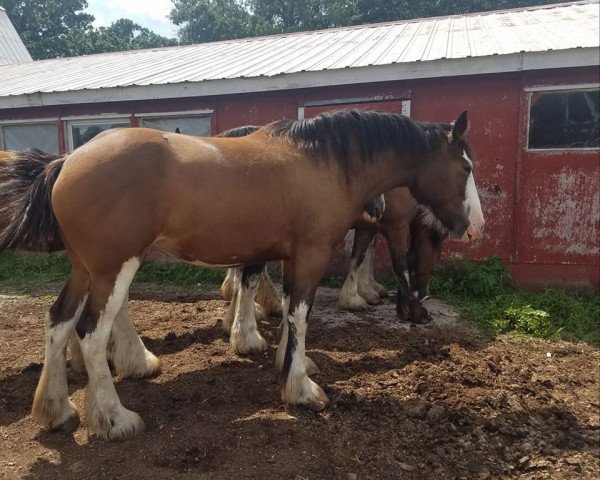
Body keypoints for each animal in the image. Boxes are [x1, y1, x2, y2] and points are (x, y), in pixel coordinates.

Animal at [0, 110, 476, 440]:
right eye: (467, 168)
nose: (469, 226)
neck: (323, 162)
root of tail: (67, 161)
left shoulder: (289, 256)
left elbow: (289, 312)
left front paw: (290, 363)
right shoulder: (312, 253)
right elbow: (300, 314)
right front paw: (300, 389)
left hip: (85, 269)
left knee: (58, 322)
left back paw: (56, 409)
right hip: (113, 268)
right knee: (91, 333)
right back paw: (114, 419)